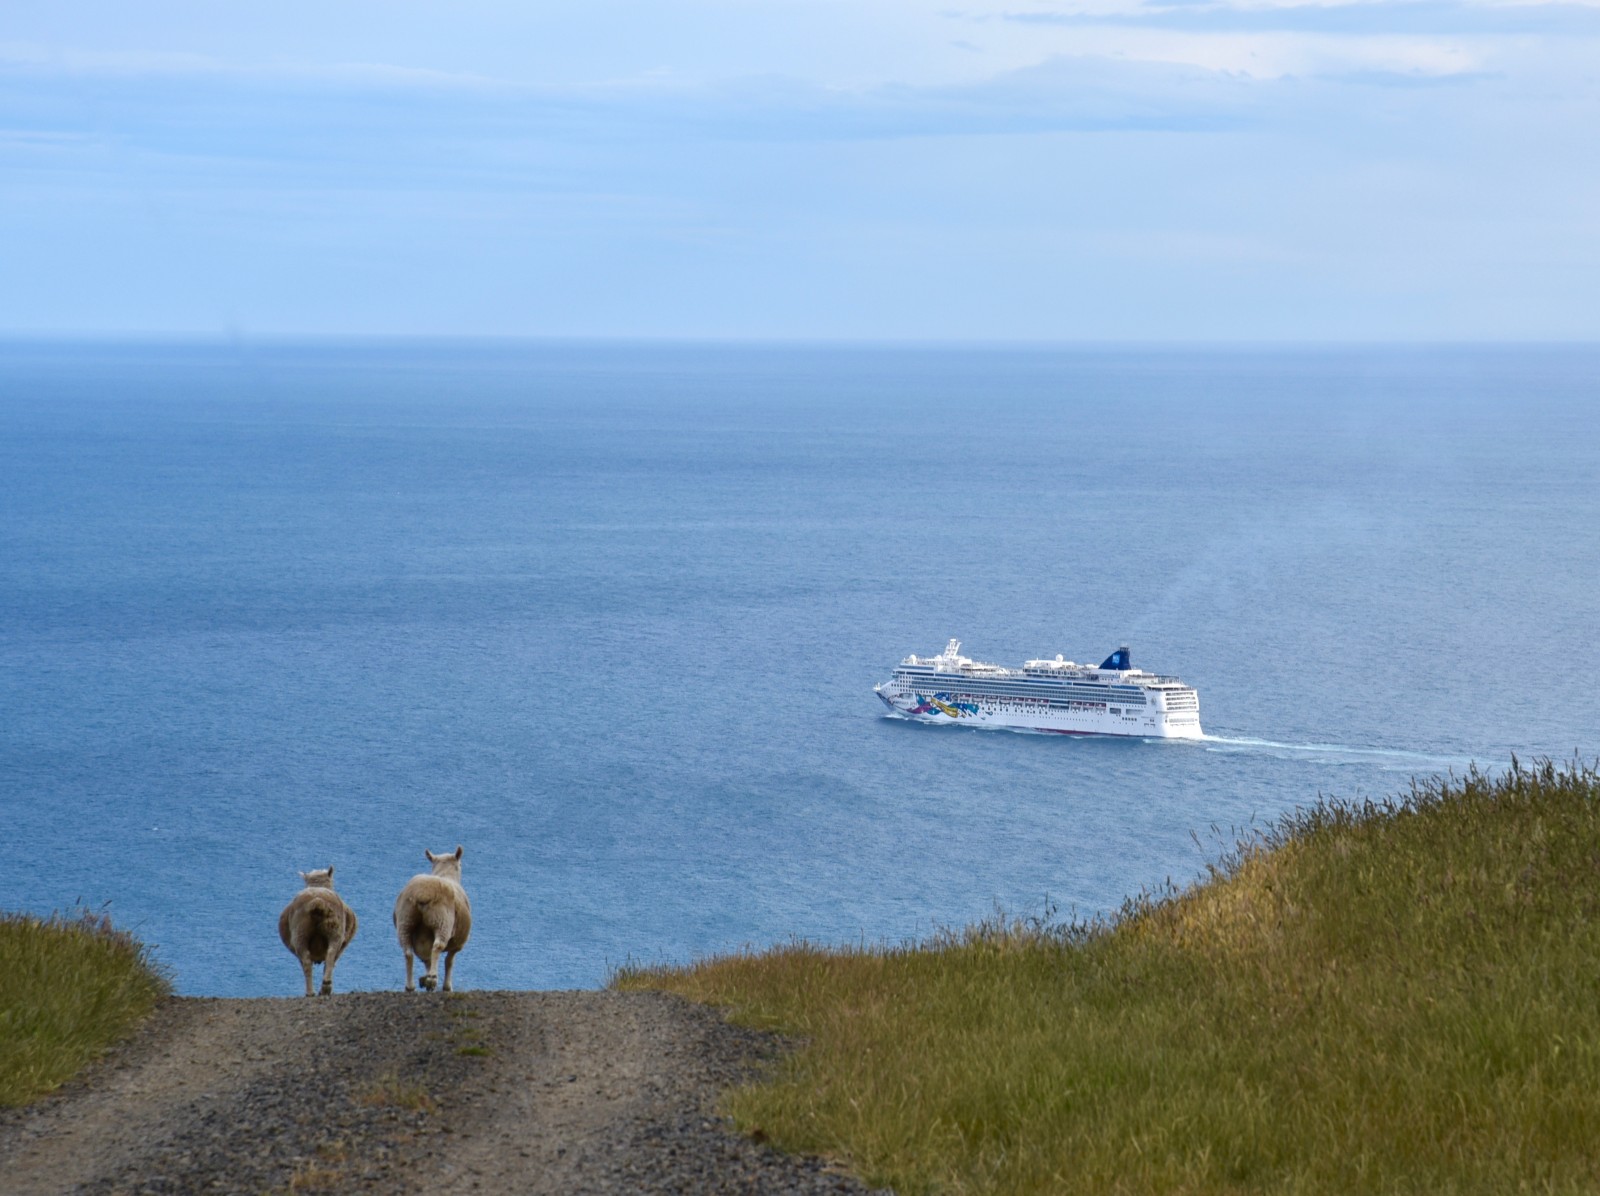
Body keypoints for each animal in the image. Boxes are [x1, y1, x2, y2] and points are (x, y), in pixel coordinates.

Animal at [278, 869, 360, 997]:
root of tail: (317, 901)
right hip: (334, 931)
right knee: (329, 955)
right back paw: (325, 986)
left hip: (300, 934)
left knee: (307, 962)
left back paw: (311, 992)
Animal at [392, 844, 470, 997]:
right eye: (461, 864)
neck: (444, 874)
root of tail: (422, 893)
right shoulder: (458, 943)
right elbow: (449, 961)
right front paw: (446, 987)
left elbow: (427, 959)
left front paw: (426, 980)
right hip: (442, 922)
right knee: (438, 946)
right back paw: (433, 978)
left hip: (405, 921)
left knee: (408, 952)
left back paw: (410, 986)